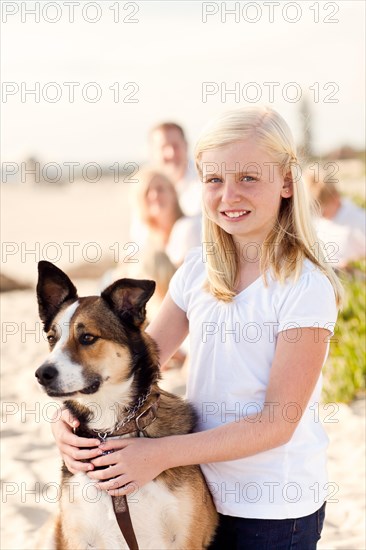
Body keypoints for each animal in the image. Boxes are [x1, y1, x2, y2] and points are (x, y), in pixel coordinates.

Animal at [35, 264, 217, 550]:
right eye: (52, 338)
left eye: (87, 337)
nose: (42, 374)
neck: (110, 427)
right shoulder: (77, 535)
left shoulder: (186, 538)